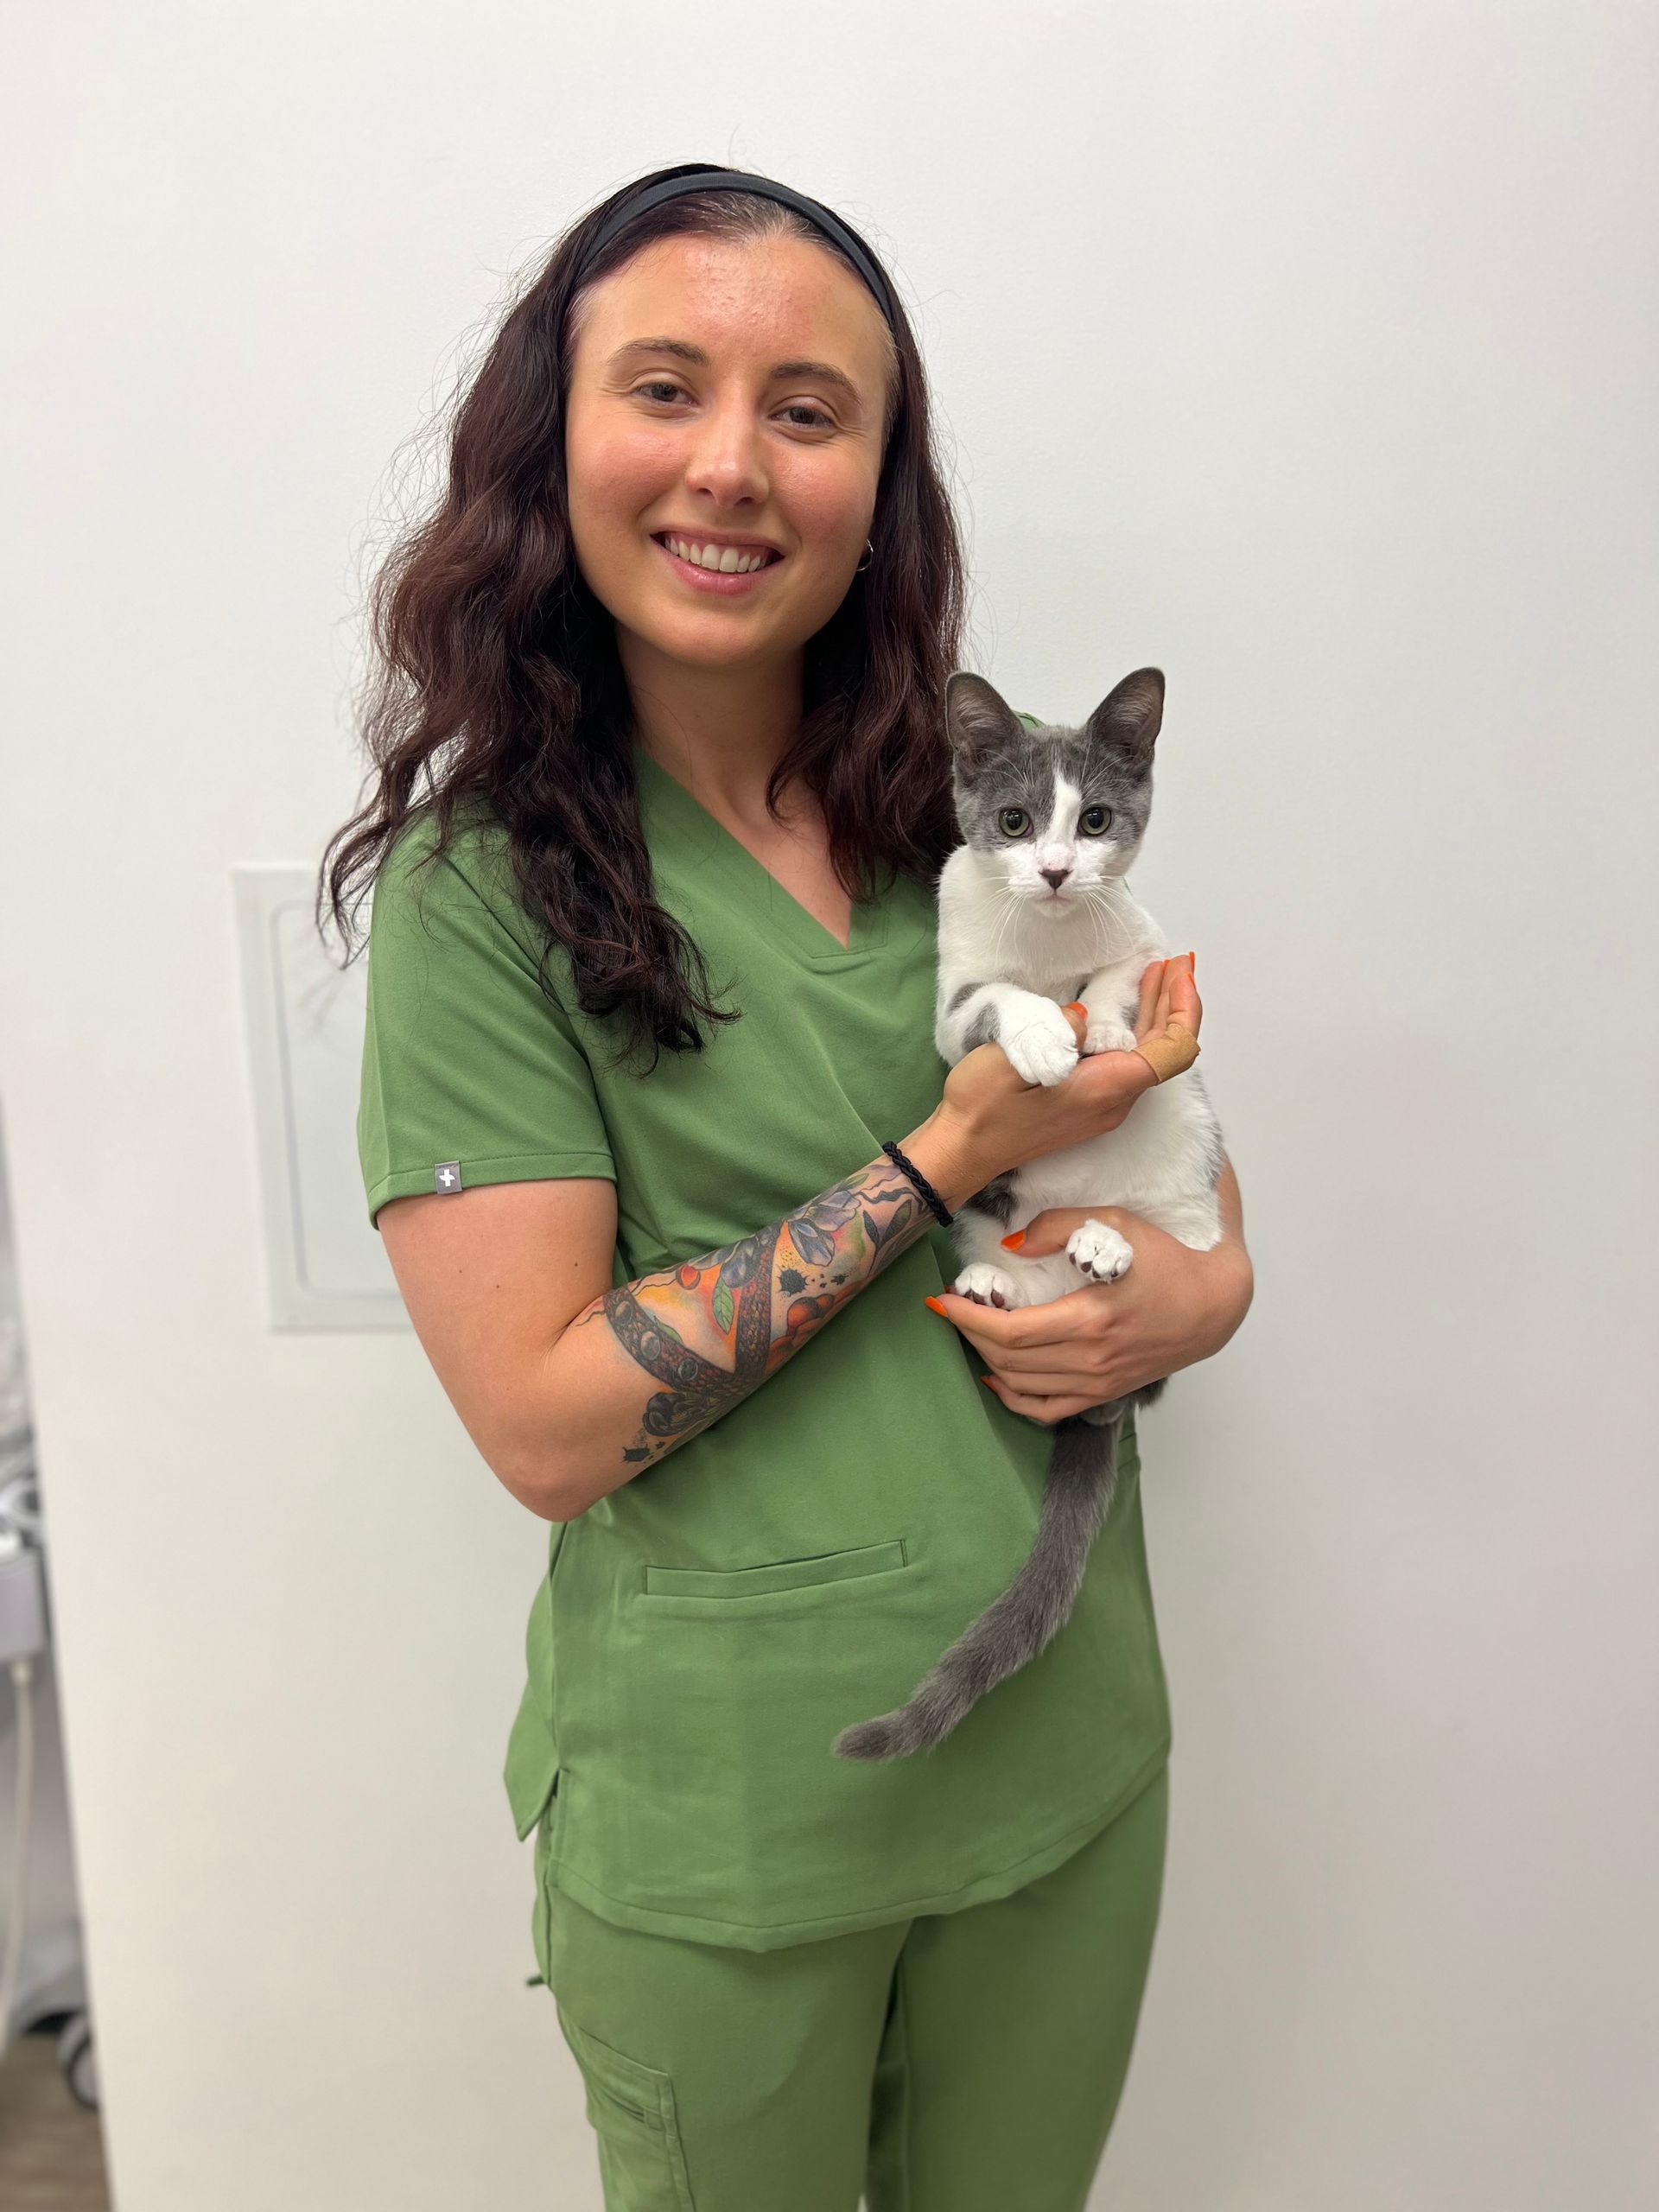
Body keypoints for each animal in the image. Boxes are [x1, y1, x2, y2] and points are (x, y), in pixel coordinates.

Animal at [834, 666, 1226, 1762]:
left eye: (1093, 820)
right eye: (1013, 822)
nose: (1053, 872)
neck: (1051, 941)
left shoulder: (1149, 945)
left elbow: (1123, 977)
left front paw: (1102, 1027)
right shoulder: (953, 996)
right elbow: (993, 999)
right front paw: (1047, 1033)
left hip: (1188, 1168)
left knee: (1179, 1238)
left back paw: (1104, 1242)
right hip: (986, 1210)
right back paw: (996, 1282)